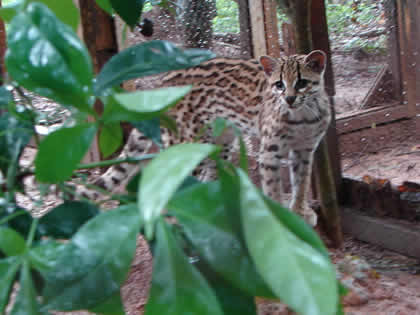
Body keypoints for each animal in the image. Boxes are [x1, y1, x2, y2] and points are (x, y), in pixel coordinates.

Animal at [80, 50, 330, 226]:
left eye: (301, 83)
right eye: (279, 84)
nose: (289, 99)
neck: (302, 115)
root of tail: (161, 83)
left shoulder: (306, 149)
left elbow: (301, 182)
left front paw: (300, 210)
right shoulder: (270, 151)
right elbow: (272, 186)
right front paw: (280, 216)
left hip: (219, 143)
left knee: (206, 176)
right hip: (186, 143)